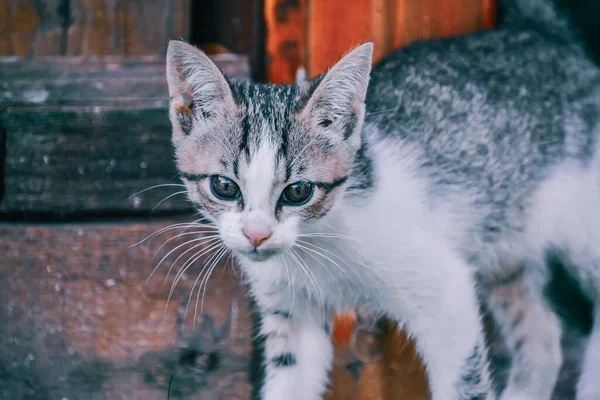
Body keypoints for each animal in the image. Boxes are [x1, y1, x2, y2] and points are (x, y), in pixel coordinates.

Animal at [162, 0, 600, 398]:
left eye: (298, 191)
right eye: (224, 186)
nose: (257, 235)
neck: (316, 245)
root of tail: (543, 32)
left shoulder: (446, 293)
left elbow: (463, 381)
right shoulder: (291, 312)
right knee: (543, 337)